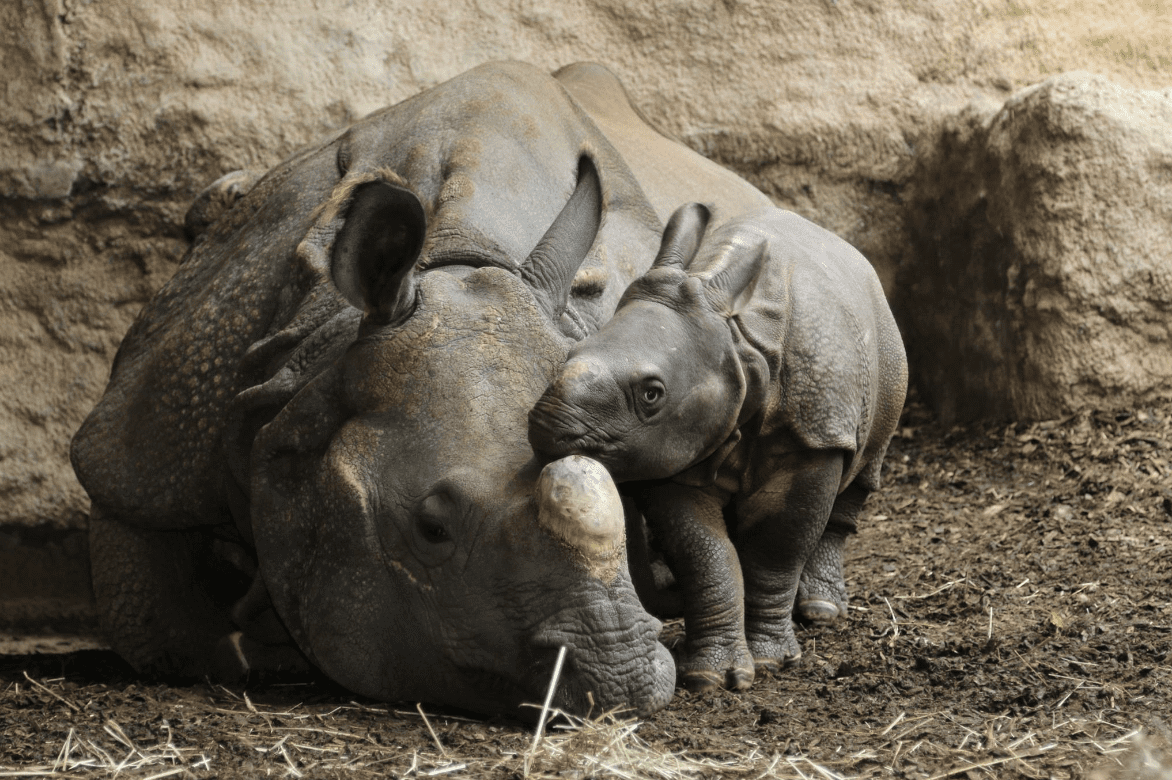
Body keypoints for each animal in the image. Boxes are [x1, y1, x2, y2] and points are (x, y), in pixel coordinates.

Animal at [529, 203, 908, 692]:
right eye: (570, 352)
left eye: (651, 393)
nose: (544, 427)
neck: (738, 341)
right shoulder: (674, 454)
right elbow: (706, 554)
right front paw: (714, 676)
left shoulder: (815, 435)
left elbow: (777, 547)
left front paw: (771, 661)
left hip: (885, 348)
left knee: (863, 468)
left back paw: (822, 611)